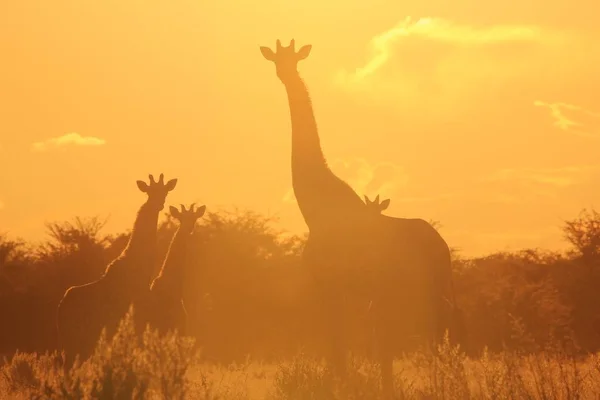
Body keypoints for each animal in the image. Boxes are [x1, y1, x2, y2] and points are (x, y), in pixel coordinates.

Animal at [260, 39, 462, 396]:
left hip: (421, 289)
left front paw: (340, 386)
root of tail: (443, 246)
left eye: (293, 58)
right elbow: (345, 343)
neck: (314, 207)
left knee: (434, 337)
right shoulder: (343, 289)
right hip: (419, 289)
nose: (284, 73)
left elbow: (338, 343)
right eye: (276, 59)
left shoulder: (329, 284)